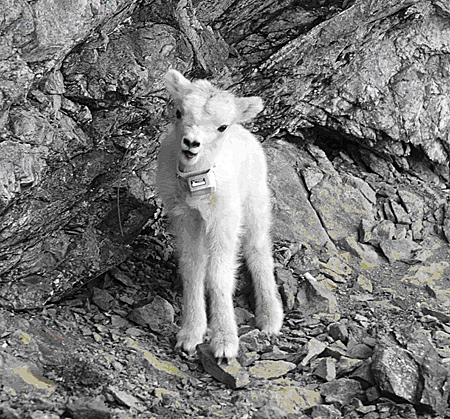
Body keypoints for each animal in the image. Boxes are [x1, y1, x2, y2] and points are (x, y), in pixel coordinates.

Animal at [155, 69, 282, 360]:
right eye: (178, 112)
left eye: (222, 126)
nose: (191, 144)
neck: (196, 181)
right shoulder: (185, 217)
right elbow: (193, 268)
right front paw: (190, 335)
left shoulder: (224, 220)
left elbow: (219, 275)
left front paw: (224, 344)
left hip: (254, 203)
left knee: (258, 251)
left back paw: (270, 319)